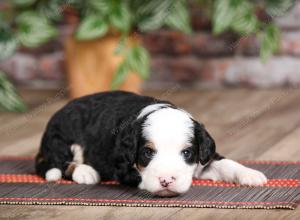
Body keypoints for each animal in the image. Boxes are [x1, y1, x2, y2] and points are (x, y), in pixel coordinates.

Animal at [35, 90, 268, 197]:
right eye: (147, 153)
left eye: (187, 153)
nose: (166, 180)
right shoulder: (122, 165)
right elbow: (140, 176)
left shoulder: (203, 155)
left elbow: (224, 163)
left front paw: (250, 174)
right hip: (62, 137)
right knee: (57, 161)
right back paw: (84, 171)